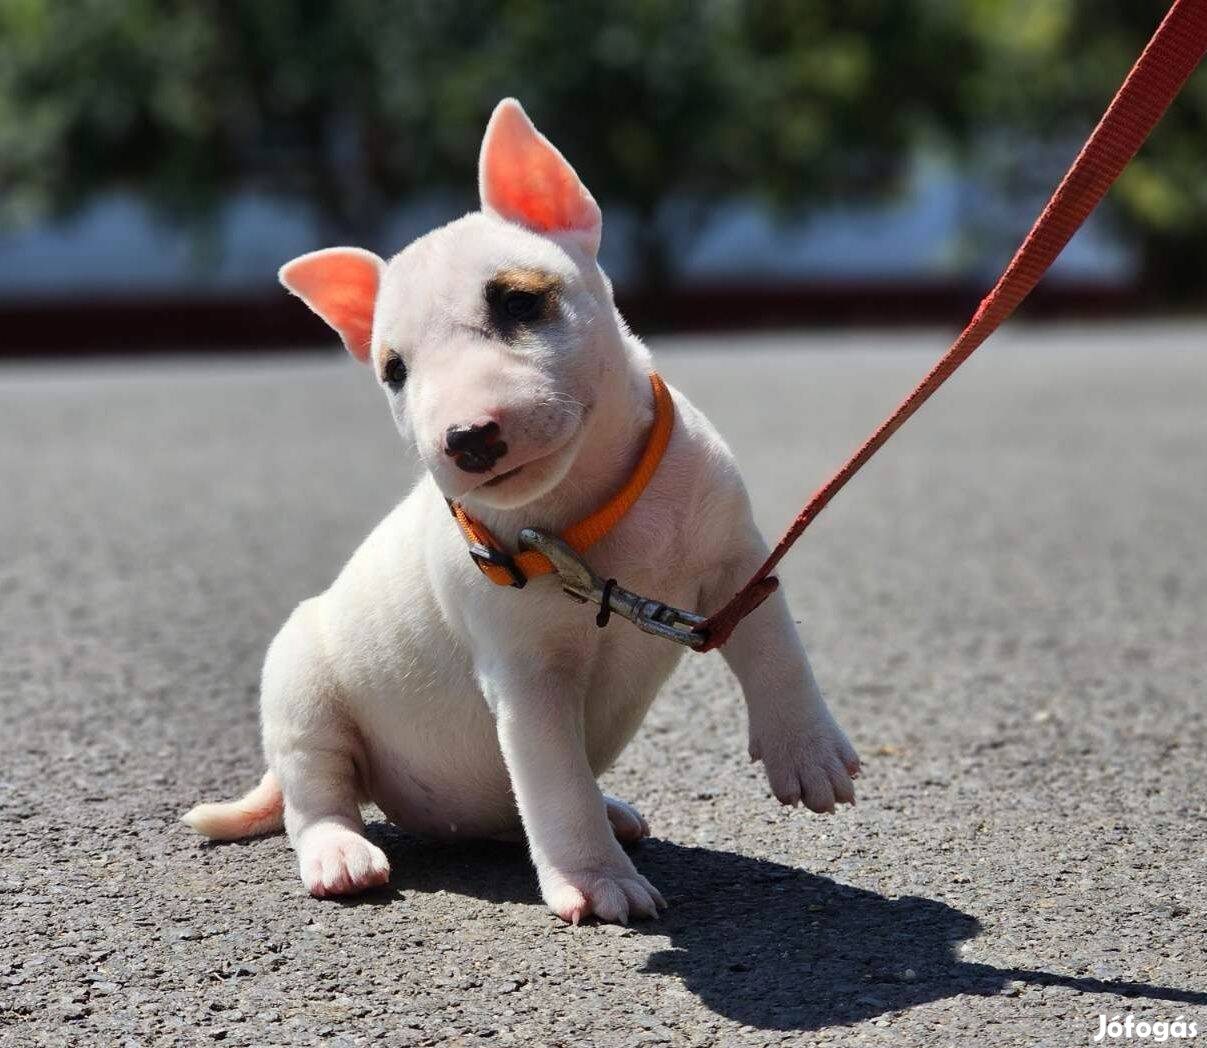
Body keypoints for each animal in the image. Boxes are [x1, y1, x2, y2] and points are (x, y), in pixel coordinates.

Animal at [183, 94, 859, 922]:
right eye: (393, 370)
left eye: (517, 301)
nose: (467, 438)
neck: (590, 507)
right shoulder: (526, 678)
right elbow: (555, 781)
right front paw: (596, 883)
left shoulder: (737, 562)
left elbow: (772, 644)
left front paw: (808, 753)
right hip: (302, 682)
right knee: (318, 791)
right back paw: (340, 856)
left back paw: (612, 814)